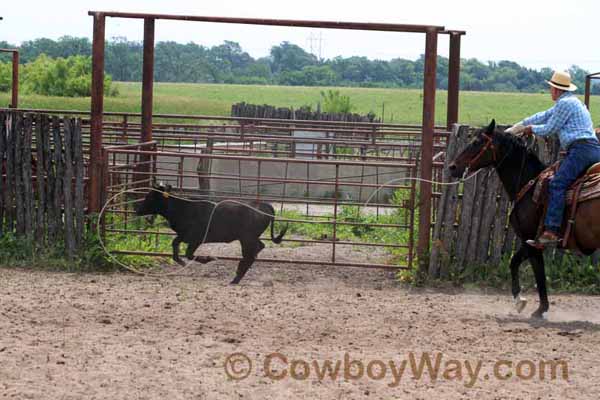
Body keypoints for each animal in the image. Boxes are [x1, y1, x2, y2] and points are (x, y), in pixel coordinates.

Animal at [448, 119, 600, 318]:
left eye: (476, 142)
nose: (452, 167)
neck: (528, 184)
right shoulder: (528, 241)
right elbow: (514, 263)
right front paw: (521, 301)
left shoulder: (532, 241)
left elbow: (539, 274)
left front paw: (538, 308)